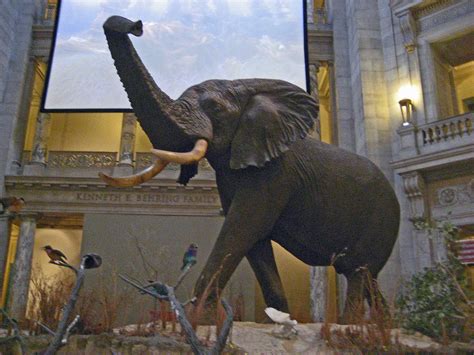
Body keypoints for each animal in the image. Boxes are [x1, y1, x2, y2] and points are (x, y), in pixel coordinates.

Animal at [101, 16, 400, 322]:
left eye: (214, 108)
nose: (135, 25)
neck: (247, 88)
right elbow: (255, 243)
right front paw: (277, 321)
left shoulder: (275, 174)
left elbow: (242, 229)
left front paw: (201, 322)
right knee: (367, 277)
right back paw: (385, 326)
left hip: (381, 219)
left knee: (358, 273)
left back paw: (351, 326)